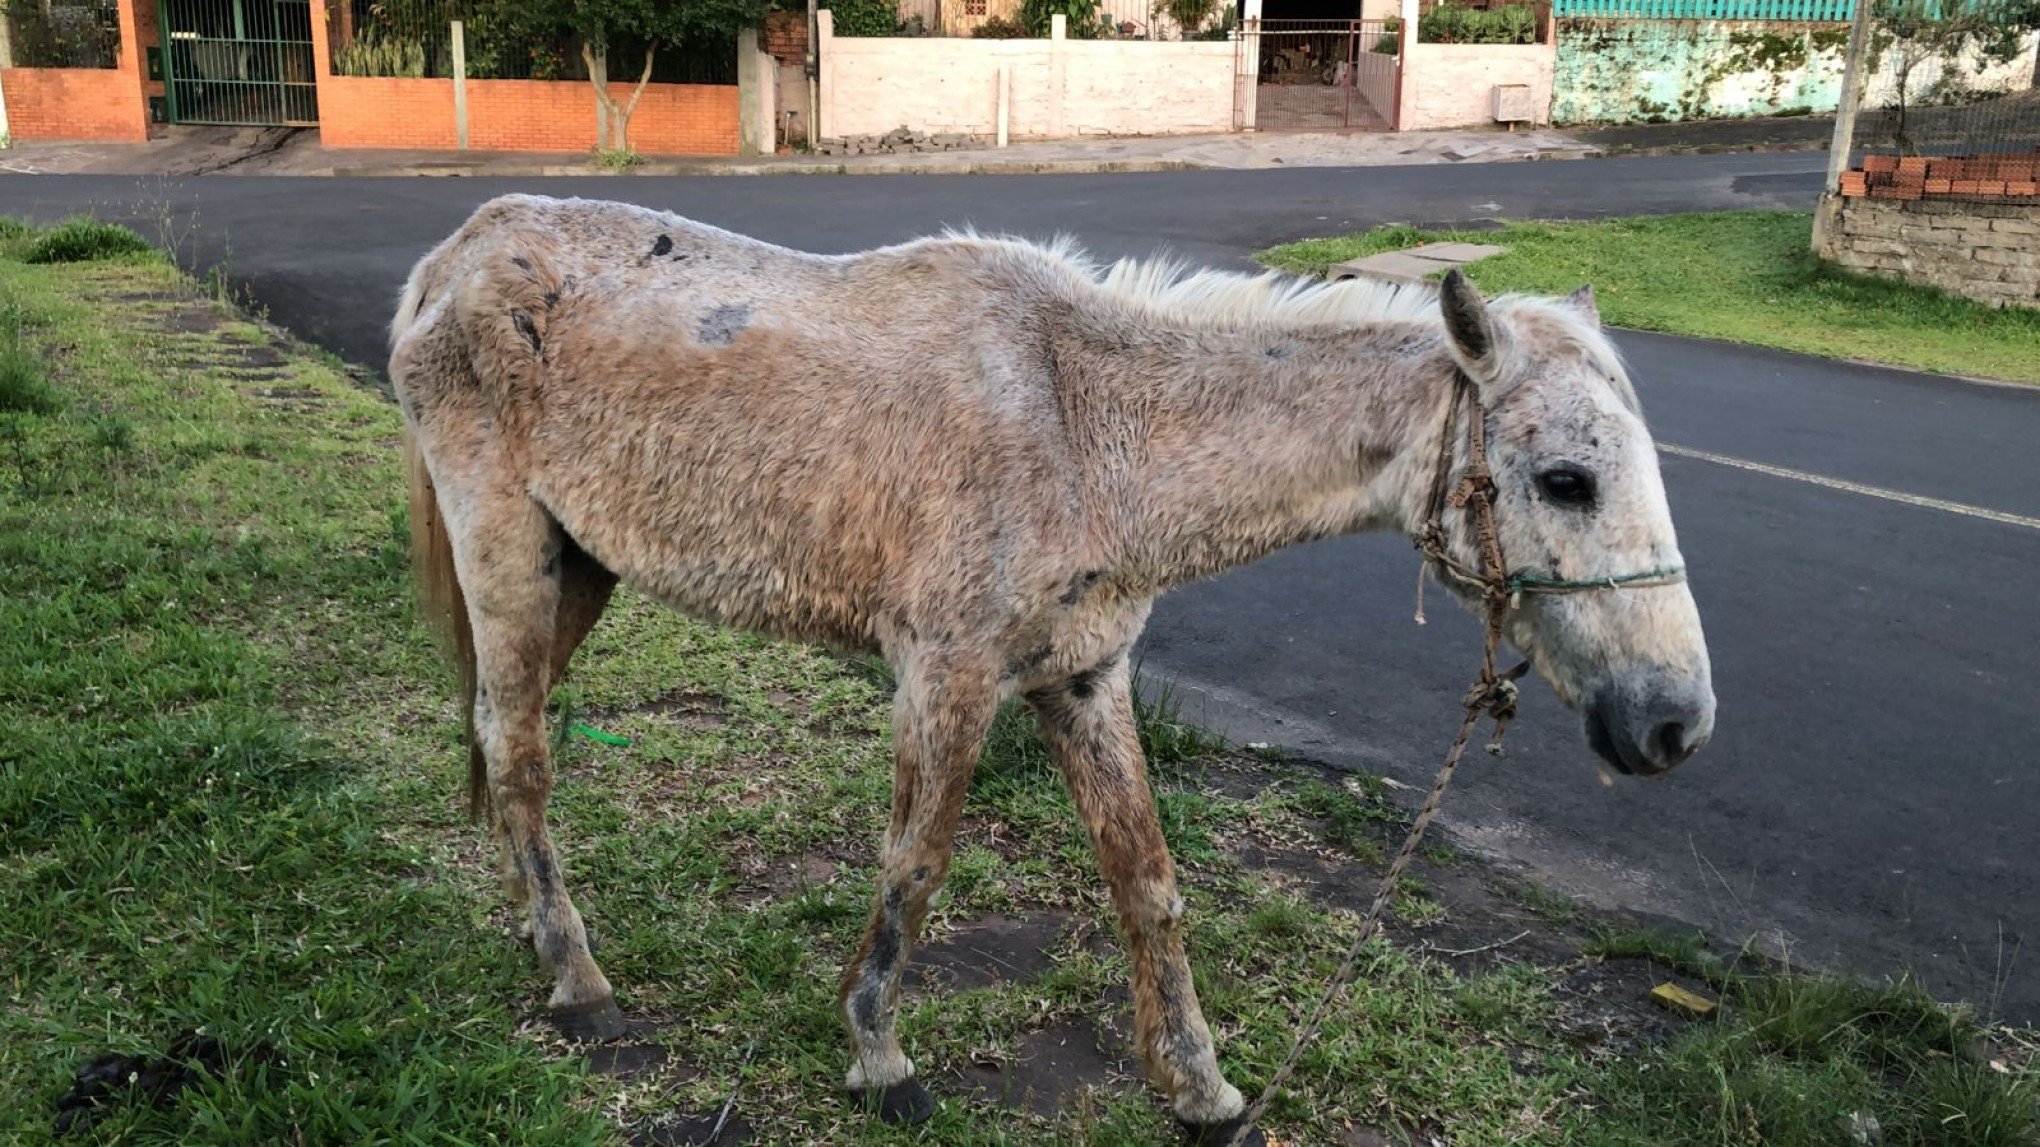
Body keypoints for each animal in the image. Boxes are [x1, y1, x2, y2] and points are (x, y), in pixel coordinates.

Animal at [389, 191, 1713, 1134]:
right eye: (1566, 480)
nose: (1674, 724)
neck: (1083, 426)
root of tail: (453, 255)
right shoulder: (947, 677)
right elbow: (916, 866)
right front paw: (879, 1055)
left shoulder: (1084, 680)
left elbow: (1149, 884)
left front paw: (1199, 1087)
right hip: (510, 554)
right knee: (522, 749)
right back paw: (580, 982)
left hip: (581, 569)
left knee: (501, 733)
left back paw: (539, 933)